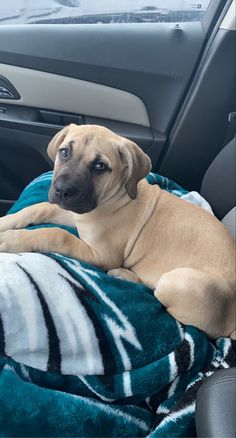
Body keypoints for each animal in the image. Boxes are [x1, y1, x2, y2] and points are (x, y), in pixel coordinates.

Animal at [0, 124, 236, 338]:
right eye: (64, 152)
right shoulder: (75, 215)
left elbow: (57, 234)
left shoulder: (103, 254)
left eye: (99, 166)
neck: (114, 198)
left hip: (179, 281)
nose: (62, 191)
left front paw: (11, 239)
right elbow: (38, 208)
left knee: (158, 295)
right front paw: (6, 222)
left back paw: (122, 273)